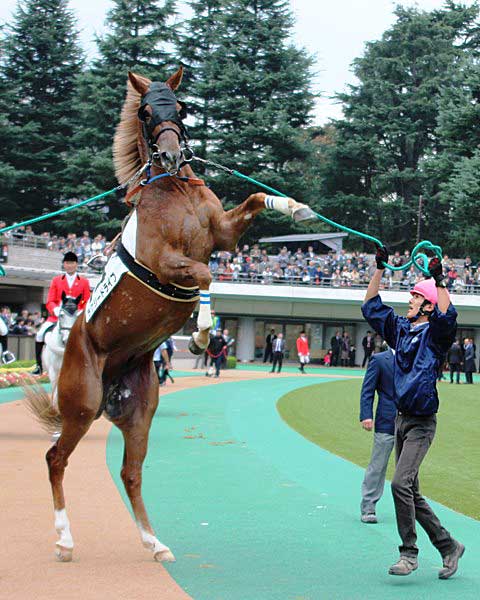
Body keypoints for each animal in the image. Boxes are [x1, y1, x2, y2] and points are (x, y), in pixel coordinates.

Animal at [26, 68, 314, 564]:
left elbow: (256, 199)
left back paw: (154, 542)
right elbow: (204, 274)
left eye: (179, 106)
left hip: (140, 409)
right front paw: (200, 332)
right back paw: (64, 540)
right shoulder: (166, 261)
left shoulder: (224, 234)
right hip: (80, 404)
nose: (173, 152)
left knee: (130, 472)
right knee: (55, 459)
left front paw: (296, 207)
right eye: (145, 111)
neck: (173, 188)